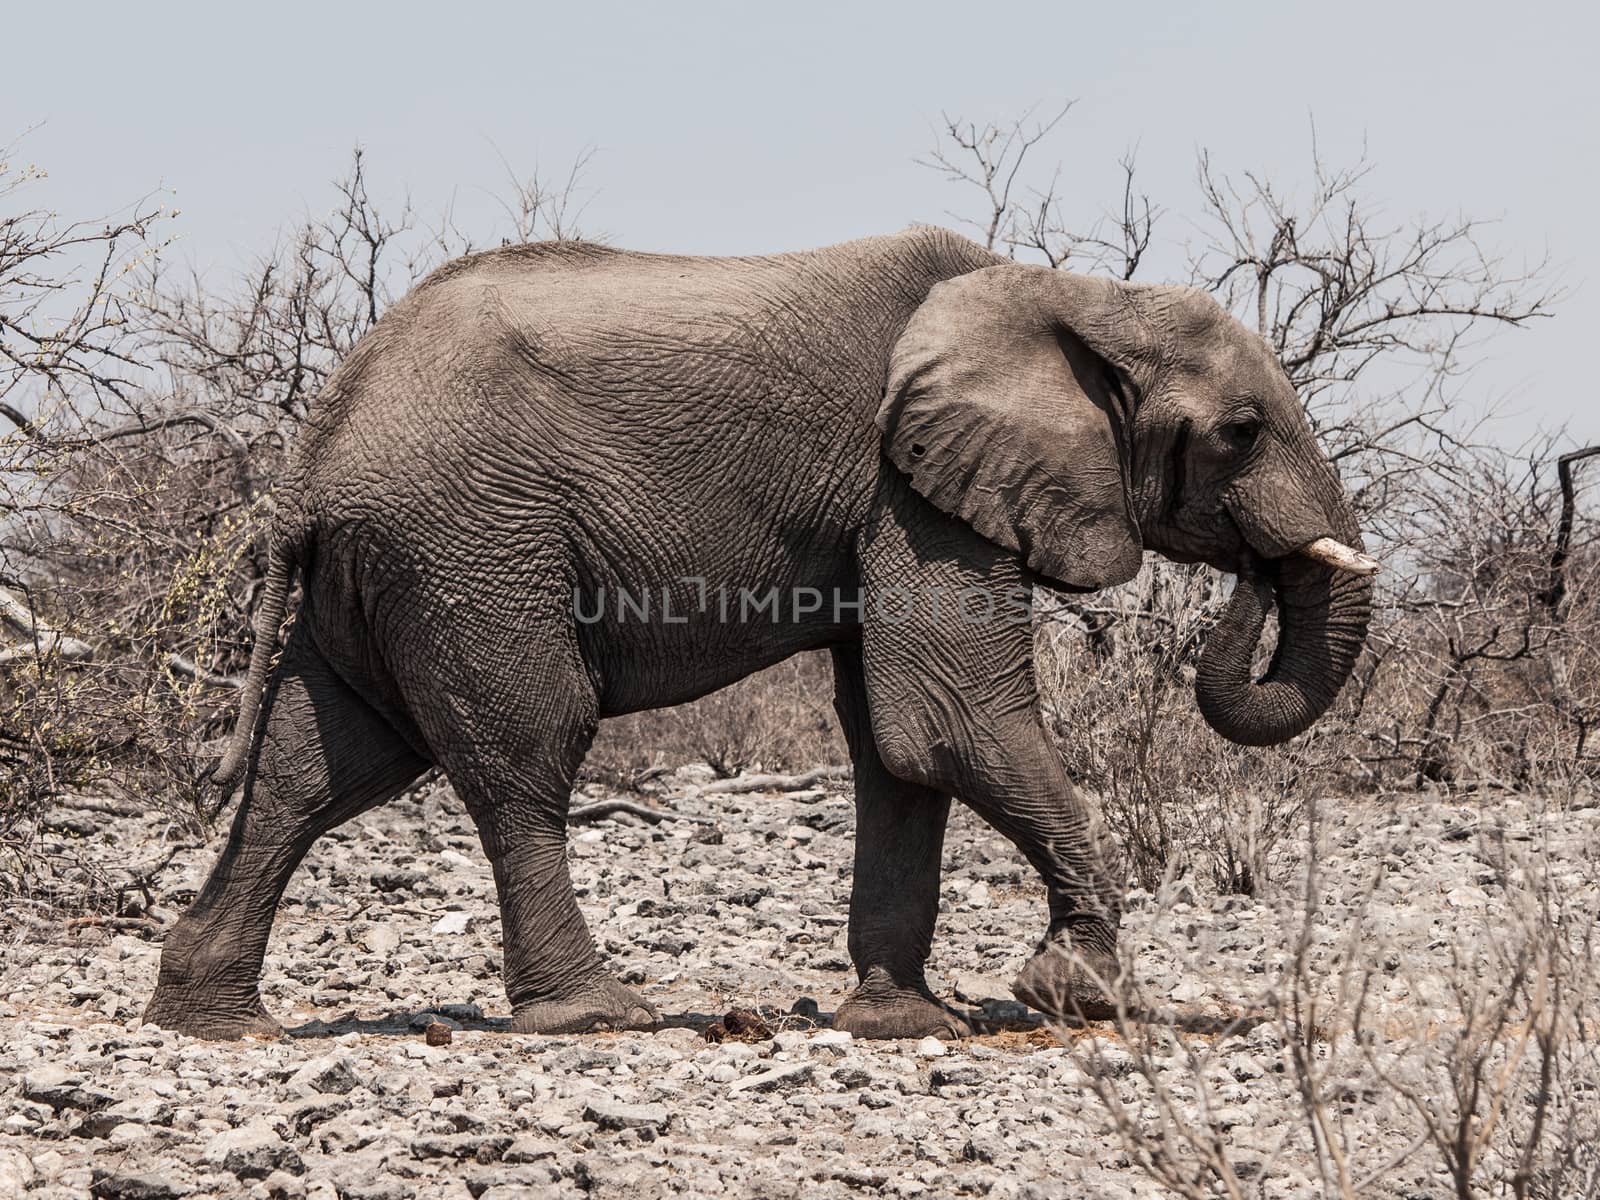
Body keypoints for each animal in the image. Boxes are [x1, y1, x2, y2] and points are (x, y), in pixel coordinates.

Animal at [140, 225, 1376, 1043]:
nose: (1258, 568)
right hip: (467, 547)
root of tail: (311, 451)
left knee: (316, 767)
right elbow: (948, 721)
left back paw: (215, 1021)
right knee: (525, 753)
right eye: (1241, 431)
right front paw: (1080, 996)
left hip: (387, 565)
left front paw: (903, 1024)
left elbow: (895, 744)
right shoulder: (911, 490)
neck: (1068, 295)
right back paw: (598, 1015)